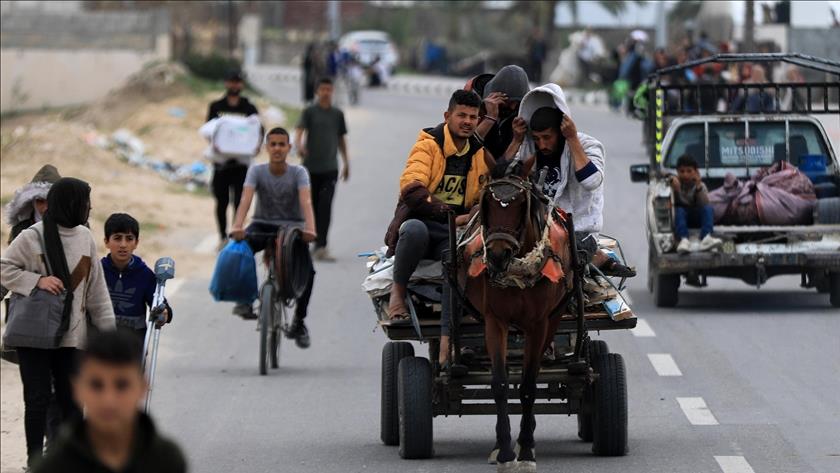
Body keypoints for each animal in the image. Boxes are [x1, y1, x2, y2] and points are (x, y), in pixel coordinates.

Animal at [456, 160, 576, 470]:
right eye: (487, 202)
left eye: (521, 203)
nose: (498, 256)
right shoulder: (494, 321)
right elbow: (500, 384)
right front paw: (505, 452)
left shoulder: (538, 324)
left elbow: (528, 386)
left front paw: (525, 450)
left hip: (553, 320)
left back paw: (526, 439)